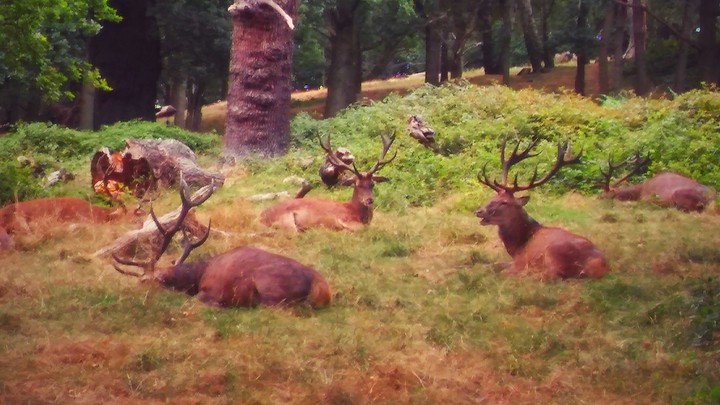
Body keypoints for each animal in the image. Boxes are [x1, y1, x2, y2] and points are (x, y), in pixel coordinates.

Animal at [259, 133, 397, 232]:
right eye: (357, 185)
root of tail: (261, 216)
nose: (369, 200)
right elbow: (361, 229)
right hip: (286, 221)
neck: (355, 212)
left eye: (372, 184)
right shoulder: (344, 219)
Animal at [475, 138, 609, 279]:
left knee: (549, 276)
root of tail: (601, 267)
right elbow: (491, 265)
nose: (479, 211)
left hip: (554, 252)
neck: (517, 247)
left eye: (504, 202)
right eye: (492, 197)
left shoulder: (520, 261)